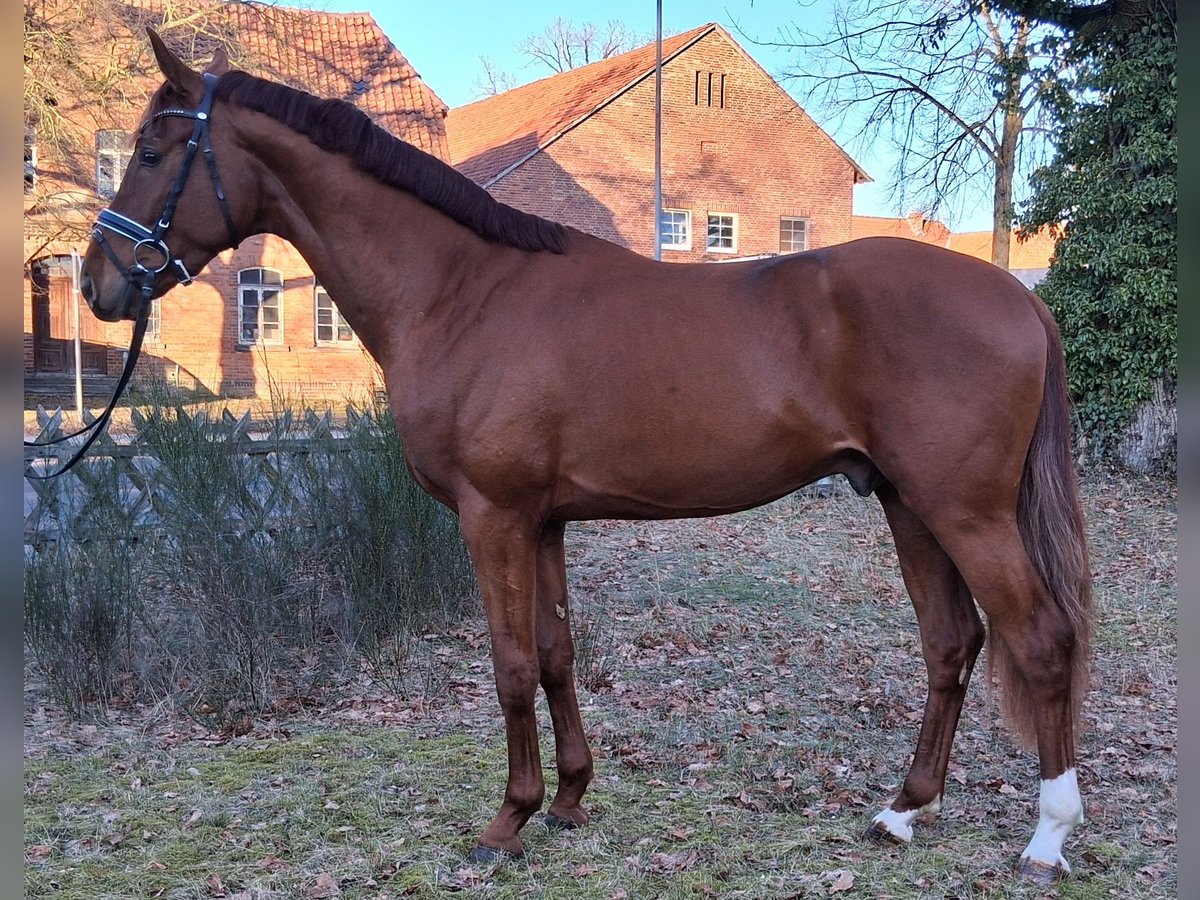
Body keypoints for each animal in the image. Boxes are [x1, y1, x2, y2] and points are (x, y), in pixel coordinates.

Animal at [80, 30, 1092, 882]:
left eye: (152, 153)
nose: (97, 283)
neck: (462, 291)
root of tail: (1019, 296)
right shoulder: (545, 521)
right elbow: (559, 653)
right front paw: (568, 798)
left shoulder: (493, 516)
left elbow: (509, 665)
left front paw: (507, 821)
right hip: (906, 504)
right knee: (952, 643)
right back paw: (901, 813)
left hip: (963, 511)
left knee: (1041, 640)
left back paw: (1047, 837)